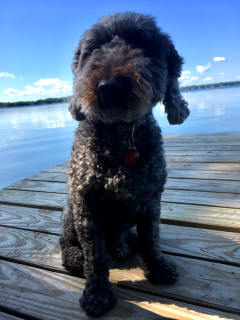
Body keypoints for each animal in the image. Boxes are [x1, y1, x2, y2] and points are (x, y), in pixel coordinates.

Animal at [59, 12, 189, 318]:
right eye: (94, 48)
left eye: (142, 45)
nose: (109, 86)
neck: (120, 134)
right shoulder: (86, 208)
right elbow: (95, 260)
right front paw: (97, 294)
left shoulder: (151, 200)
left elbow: (151, 239)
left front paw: (157, 268)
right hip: (69, 212)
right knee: (66, 243)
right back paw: (76, 255)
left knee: (129, 237)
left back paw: (126, 243)